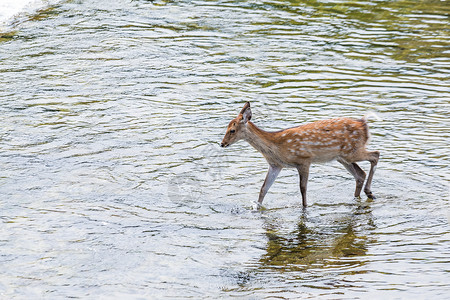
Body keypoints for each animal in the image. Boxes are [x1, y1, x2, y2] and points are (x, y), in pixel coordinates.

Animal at [221, 102, 380, 209]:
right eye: (226, 128)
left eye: (232, 130)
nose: (222, 143)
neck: (276, 147)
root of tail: (364, 123)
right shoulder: (275, 165)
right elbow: (263, 188)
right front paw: (256, 207)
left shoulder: (304, 160)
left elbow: (302, 188)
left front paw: (304, 207)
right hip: (343, 157)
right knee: (360, 174)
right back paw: (359, 197)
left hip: (352, 151)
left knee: (375, 155)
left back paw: (369, 192)